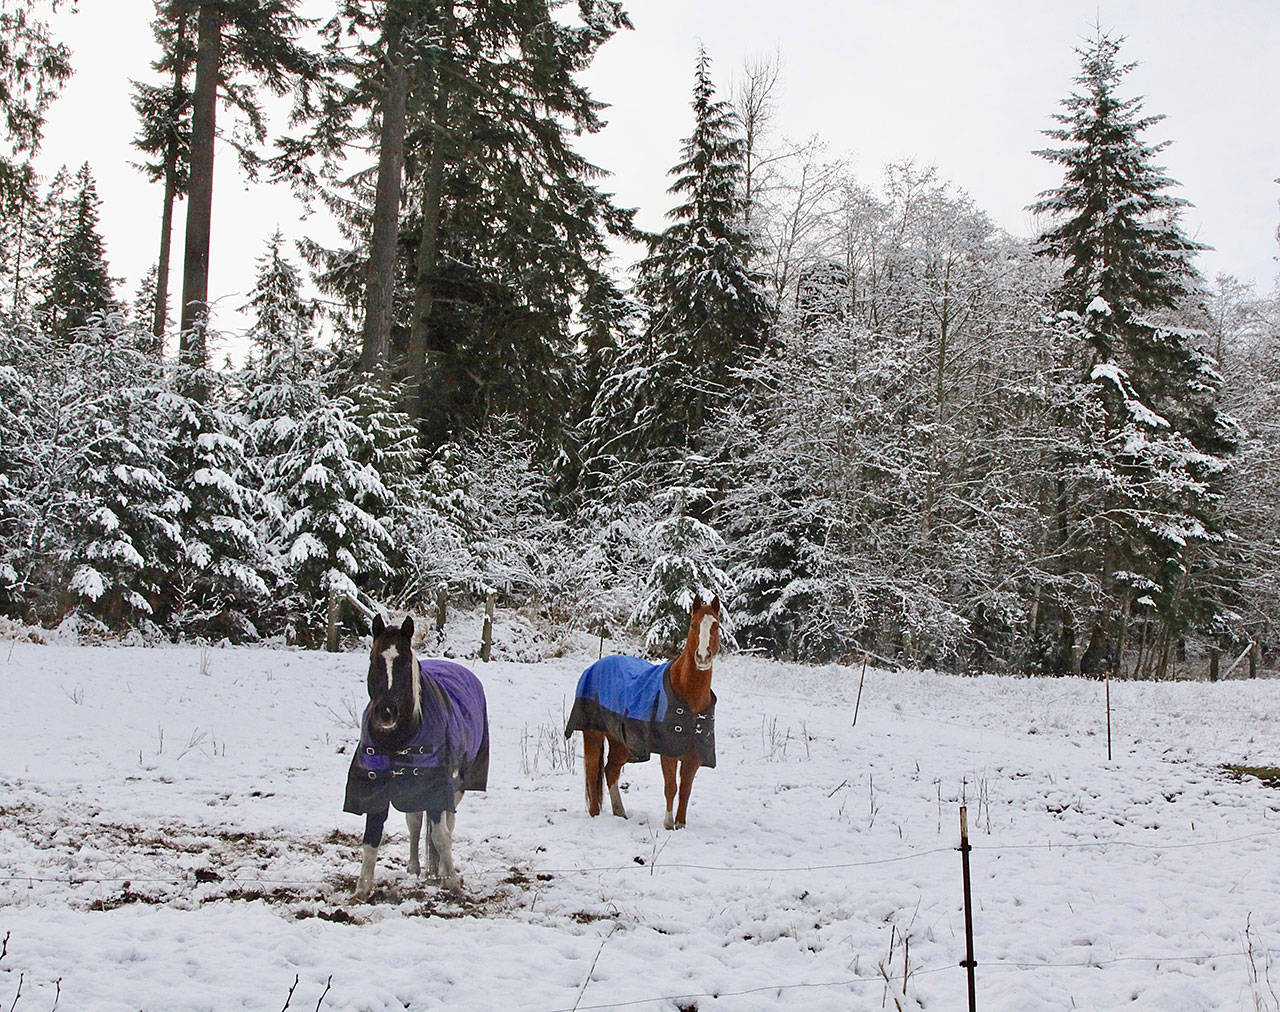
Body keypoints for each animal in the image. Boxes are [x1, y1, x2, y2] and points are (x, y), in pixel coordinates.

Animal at [343, 614, 486, 900]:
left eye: (404, 662)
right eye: (374, 660)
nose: (386, 713)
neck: (397, 739)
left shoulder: (437, 785)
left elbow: (441, 836)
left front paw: (452, 883)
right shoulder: (376, 785)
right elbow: (371, 838)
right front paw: (362, 889)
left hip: (457, 784)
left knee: (448, 824)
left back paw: (440, 870)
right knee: (415, 821)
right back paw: (414, 868)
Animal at [568, 598, 721, 829]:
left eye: (716, 626)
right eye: (694, 624)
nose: (703, 657)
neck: (689, 697)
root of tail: (593, 667)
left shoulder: (694, 755)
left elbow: (685, 791)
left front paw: (680, 825)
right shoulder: (669, 752)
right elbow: (671, 787)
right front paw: (668, 825)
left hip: (621, 742)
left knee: (610, 770)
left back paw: (620, 812)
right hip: (593, 733)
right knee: (593, 769)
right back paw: (595, 813)